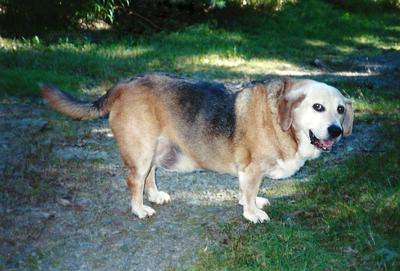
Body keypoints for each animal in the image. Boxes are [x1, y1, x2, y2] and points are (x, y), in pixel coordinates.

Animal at [40, 73, 354, 224]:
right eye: (317, 107)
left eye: (340, 109)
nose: (336, 131)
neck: (282, 119)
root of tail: (122, 86)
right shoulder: (252, 169)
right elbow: (249, 194)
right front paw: (252, 213)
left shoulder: (250, 174)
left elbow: (248, 192)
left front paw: (253, 203)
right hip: (140, 154)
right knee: (134, 182)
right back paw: (139, 209)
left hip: (154, 151)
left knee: (149, 178)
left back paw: (154, 196)